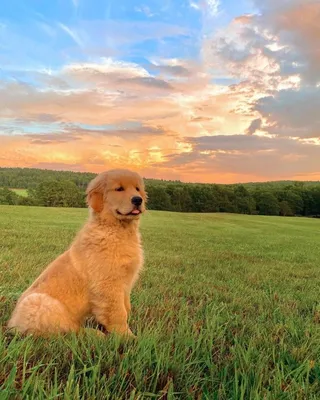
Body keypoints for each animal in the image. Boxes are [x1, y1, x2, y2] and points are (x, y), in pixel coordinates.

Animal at [7, 169, 147, 338]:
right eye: (119, 189)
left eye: (137, 189)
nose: (138, 200)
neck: (117, 230)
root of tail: (12, 324)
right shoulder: (108, 285)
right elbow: (118, 313)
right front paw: (128, 337)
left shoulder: (125, 284)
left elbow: (126, 307)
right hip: (39, 303)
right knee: (68, 330)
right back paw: (95, 334)